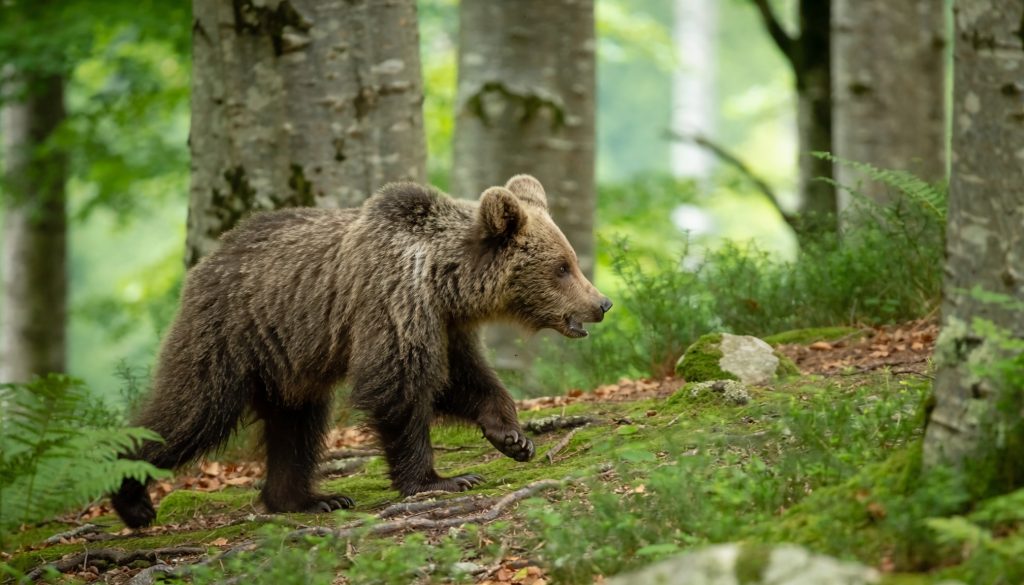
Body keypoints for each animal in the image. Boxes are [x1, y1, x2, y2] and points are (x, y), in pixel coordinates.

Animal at [110, 174, 612, 528]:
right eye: (562, 266)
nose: (602, 302)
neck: (444, 280)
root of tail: (208, 260)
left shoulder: (445, 325)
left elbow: (464, 379)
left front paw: (512, 437)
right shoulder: (394, 304)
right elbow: (398, 386)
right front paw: (440, 479)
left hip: (289, 364)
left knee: (296, 426)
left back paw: (312, 499)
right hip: (227, 336)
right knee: (192, 411)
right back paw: (131, 498)